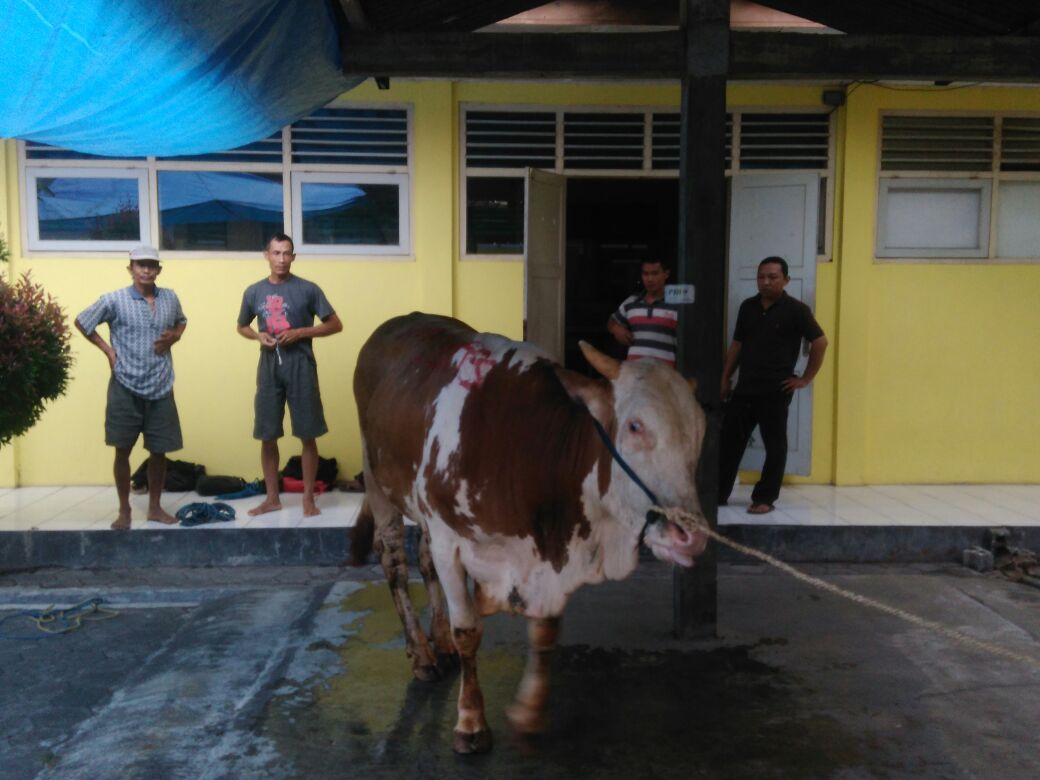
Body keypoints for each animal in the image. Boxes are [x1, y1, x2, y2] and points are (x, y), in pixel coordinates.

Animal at [351, 314, 707, 757]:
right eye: (635, 425)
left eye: (701, 431)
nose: (690, 534)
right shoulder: (453, 541)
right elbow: (468, 631)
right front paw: (470, 721)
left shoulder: (550, 557)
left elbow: (545, 629)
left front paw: (530, 710)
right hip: (378, 484)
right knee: (395, 562)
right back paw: (422, 653)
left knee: (424, 558)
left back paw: (440, 642)